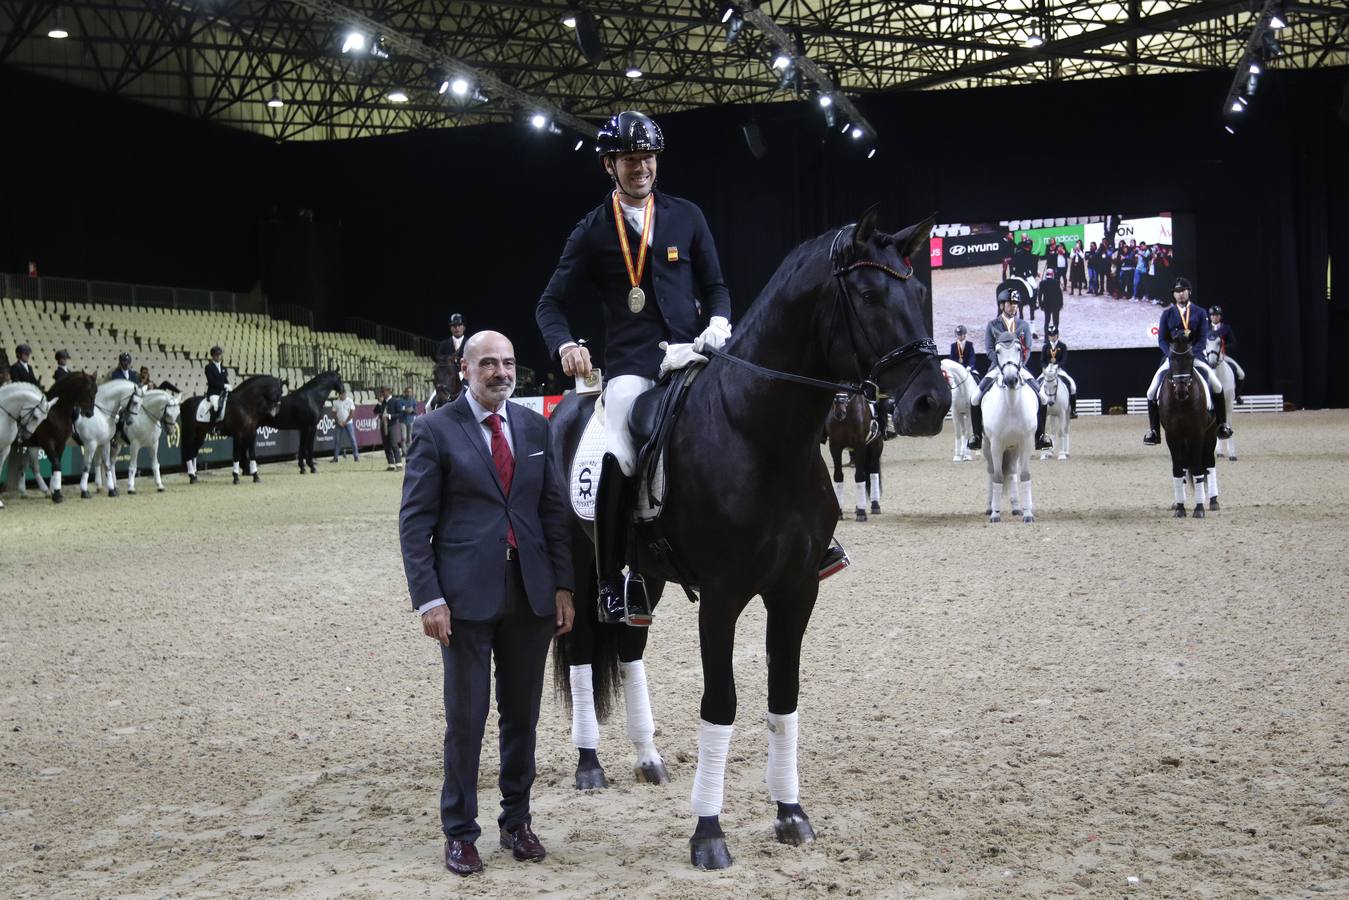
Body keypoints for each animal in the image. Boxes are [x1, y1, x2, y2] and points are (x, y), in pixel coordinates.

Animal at [7, 373, 96, 503]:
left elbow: (56, 464)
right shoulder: (47, 443)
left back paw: (27, 492)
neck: (55, 413)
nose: (90, 413)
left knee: (25, 466)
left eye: (96, 391)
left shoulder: (61, 443)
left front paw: (55, 490)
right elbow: (56, 464)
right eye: (86, 390)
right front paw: (57, 494)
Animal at [826, 392, 882, 521]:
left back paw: (874, 505)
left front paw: (862, 512)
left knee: (873, 472)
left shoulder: (859, 446)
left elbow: (860, 476)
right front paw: (839, 512)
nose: (839, 413)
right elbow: (838, 476)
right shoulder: (834, 446)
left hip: (875, 446)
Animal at [981, 337, 1038, 523]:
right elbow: (998, 477)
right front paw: (995, 514)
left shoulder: (1026, 442)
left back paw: (1016, 507)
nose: (1011, 379)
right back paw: (989, 507)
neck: (1012, 405)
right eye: (998, 351)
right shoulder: (996, 445)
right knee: (991, 473)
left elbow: (1025, 476)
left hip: (1014, 448)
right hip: (987, 448)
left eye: (1019, 349)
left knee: (1012, 473)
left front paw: (1028, 514)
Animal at [1159, 333, 1217, 518]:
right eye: (1171, 358)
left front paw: (1199, 508)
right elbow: (1178, 468)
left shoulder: (1197, 433)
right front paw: (1179, 508)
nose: (1181, 392)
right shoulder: (1172, 435)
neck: (1181, 403)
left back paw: (1213, 501)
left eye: (1191, 357)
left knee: (1209, 463)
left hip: (1211, 433)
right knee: (1184, 466)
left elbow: (1198, 468)